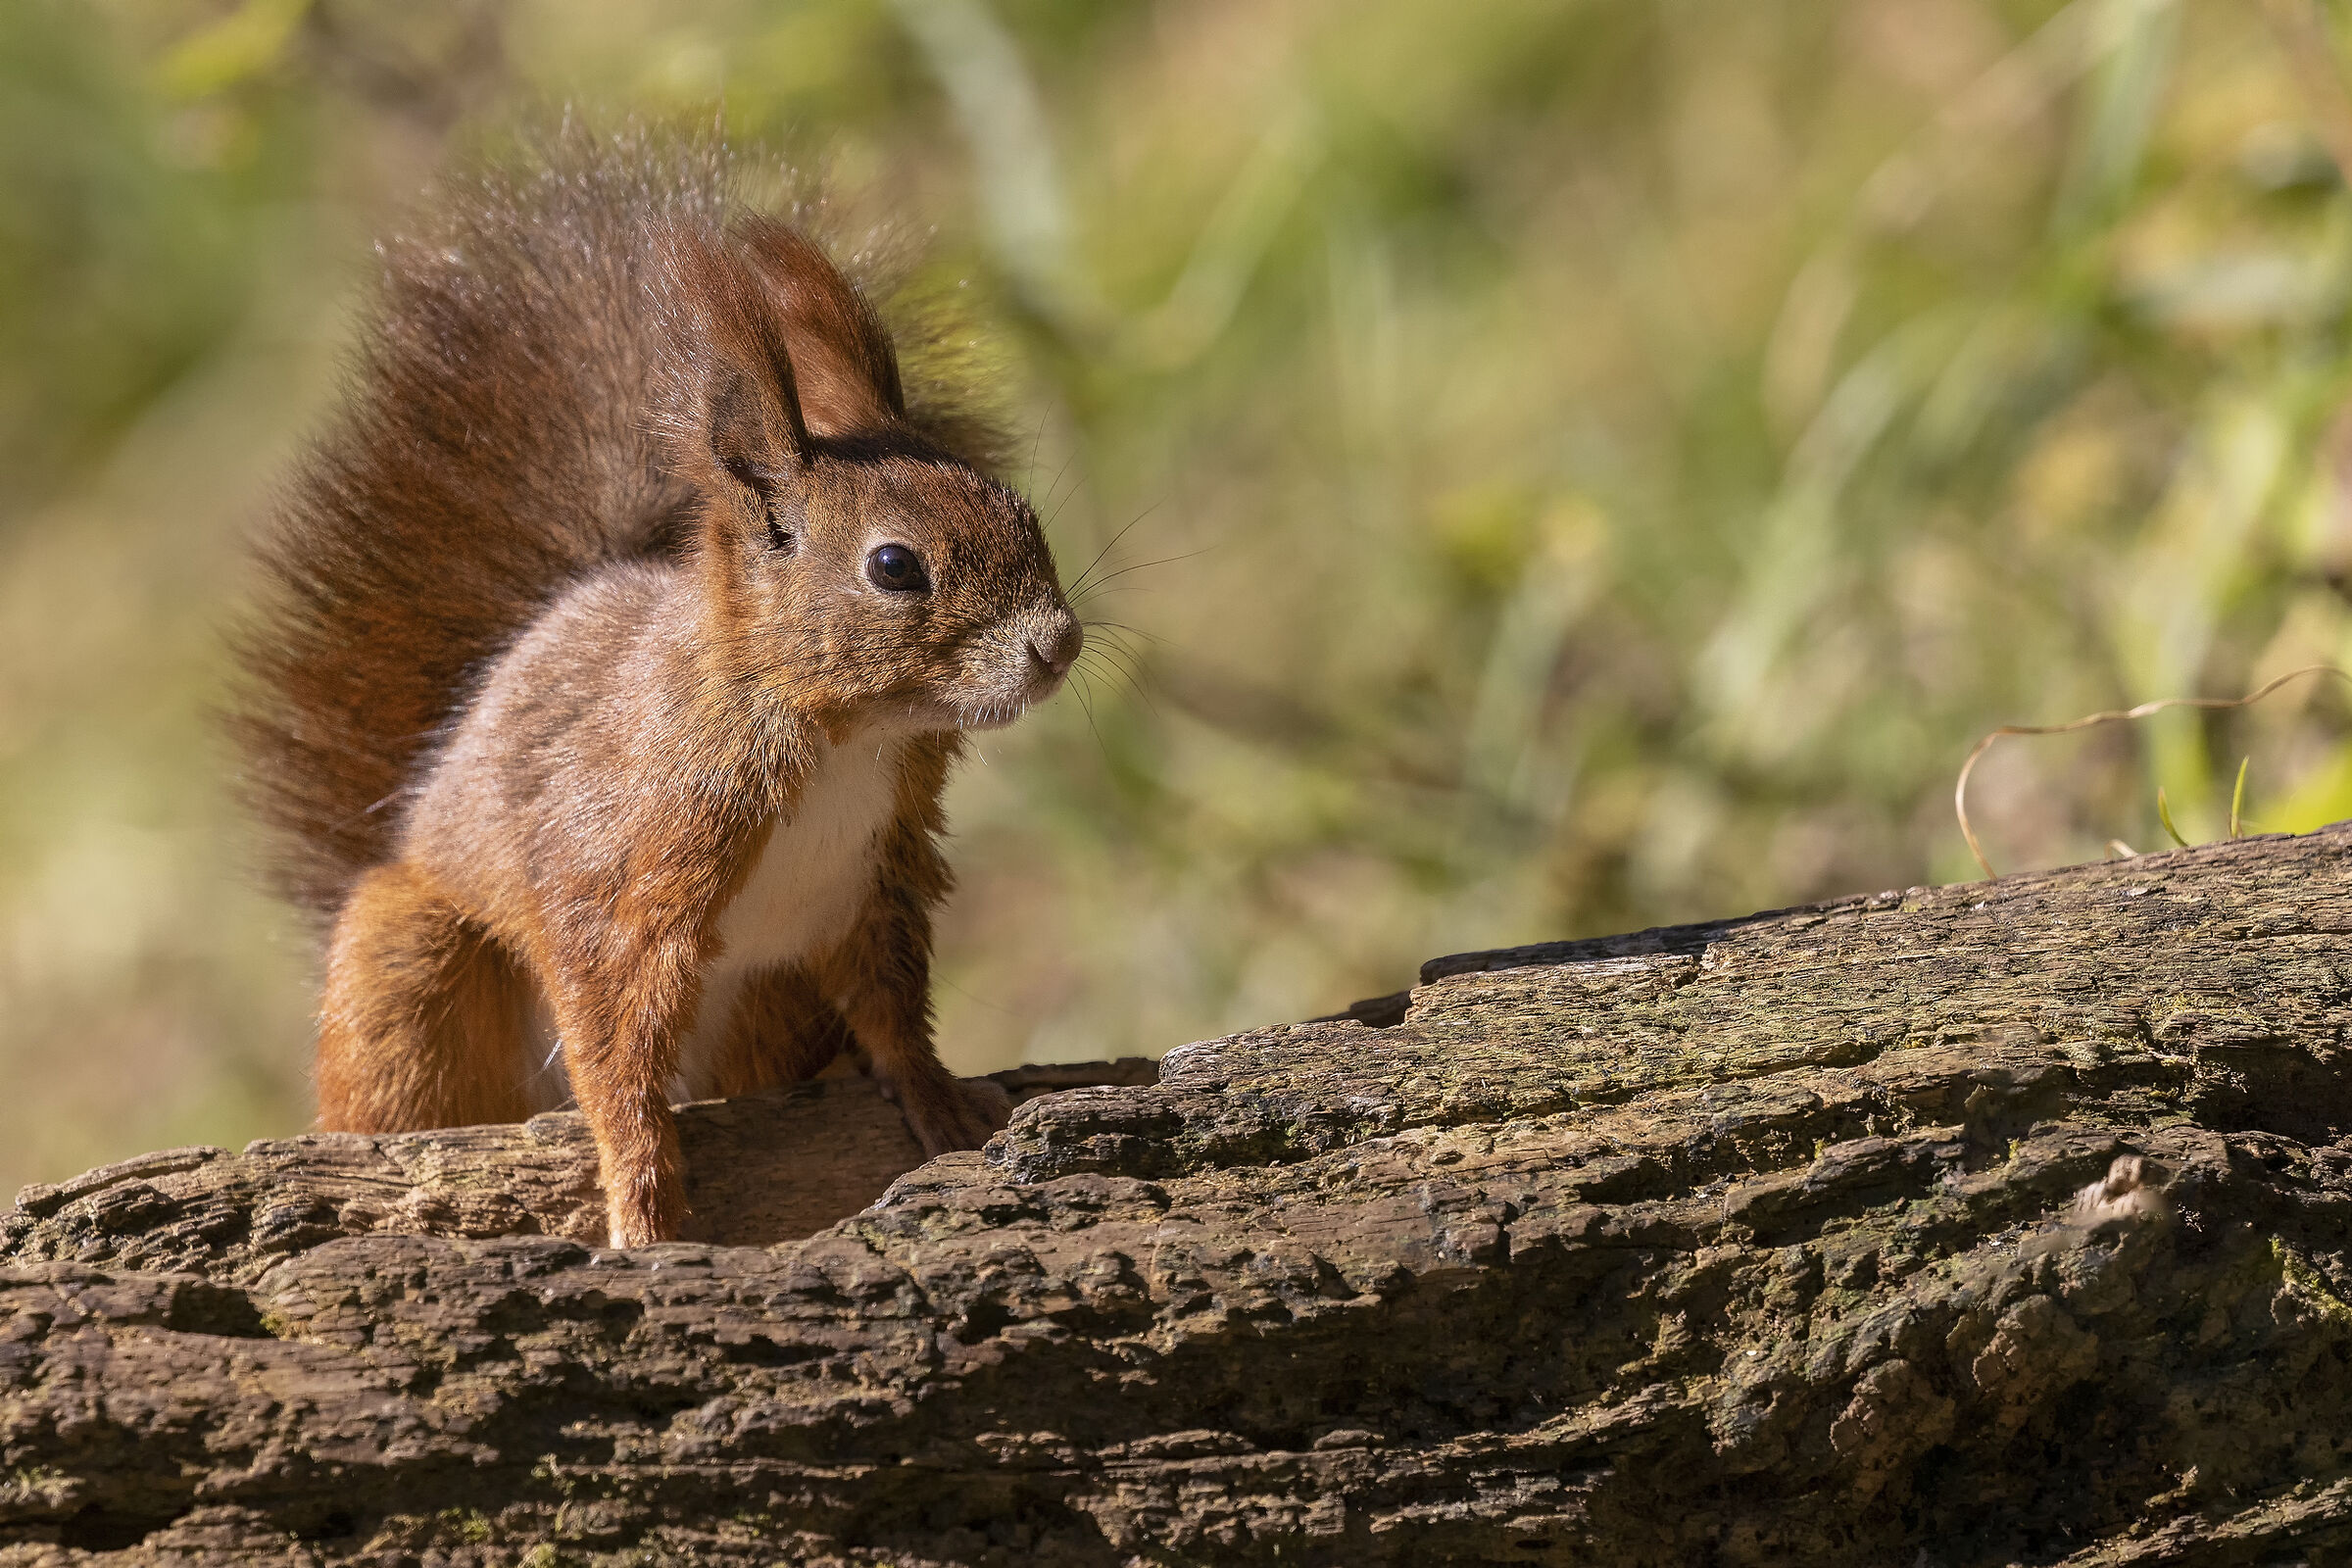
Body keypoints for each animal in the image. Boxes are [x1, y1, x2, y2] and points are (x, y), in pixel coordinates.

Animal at [230, 127, 1082, 1247]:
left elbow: (897, 1013)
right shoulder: (623, 876)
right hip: (408, 972)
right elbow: (614, 1056)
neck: (846, 738)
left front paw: (940, 1101)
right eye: (896, 567)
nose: (1060, 644)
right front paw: (643, 1211)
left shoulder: (876, 884)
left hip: (772, 1000)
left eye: (1021, 510)